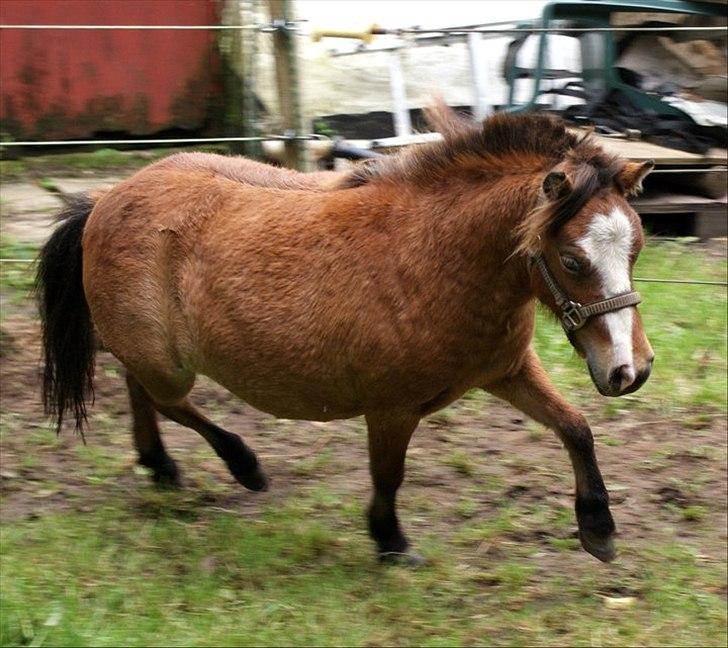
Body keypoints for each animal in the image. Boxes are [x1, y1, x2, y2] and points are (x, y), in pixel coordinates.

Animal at [35, 105, 656, 560]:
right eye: (572, 260)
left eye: (637, 246)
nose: (632, 369)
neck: (437, 259)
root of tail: (105, 201)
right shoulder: (391, 408)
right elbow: (389, 474)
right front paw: (389, 540)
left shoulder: (507, 370)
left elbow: (575, 428)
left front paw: (599, 528)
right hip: (166, 363)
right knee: (166, 399)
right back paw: (243, 466)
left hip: (153, 355)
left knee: (139, 389)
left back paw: (161, 467)